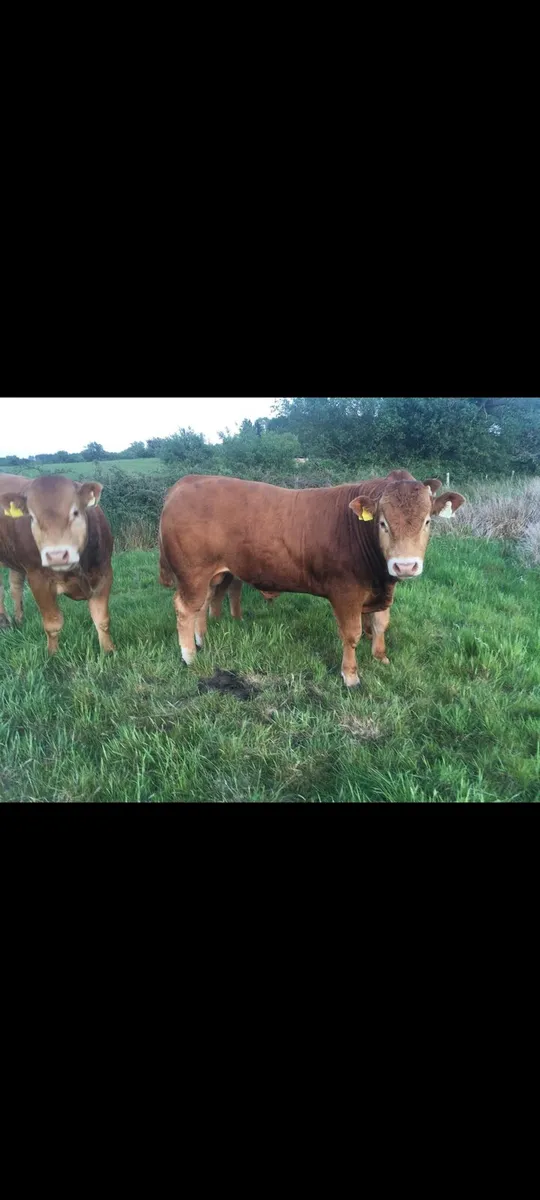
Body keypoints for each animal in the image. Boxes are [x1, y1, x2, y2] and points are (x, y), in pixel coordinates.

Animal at [0, 474, 114, 655]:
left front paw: (109, 651)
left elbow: (102, 619)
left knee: (15, 585)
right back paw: (5, 622)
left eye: (75, 512)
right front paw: (53, 654)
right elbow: (52, 624)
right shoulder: (38, 579)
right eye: (32, 517)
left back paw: (19, 620)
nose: (56, 556)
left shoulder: (105, 573)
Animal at [158, 469, 465, 686]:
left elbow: (380, 625)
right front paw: (350, 676)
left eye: (427, 521)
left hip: (214, 574)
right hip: (192, 573)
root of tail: (187, 481)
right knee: (184, 608)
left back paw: (202, 641)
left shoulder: (381, 590)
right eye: (382, 523)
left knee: (203, 604)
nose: (405, 566)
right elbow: (351, 634)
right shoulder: (345, 593)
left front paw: (381, 658)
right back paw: (189, 655)